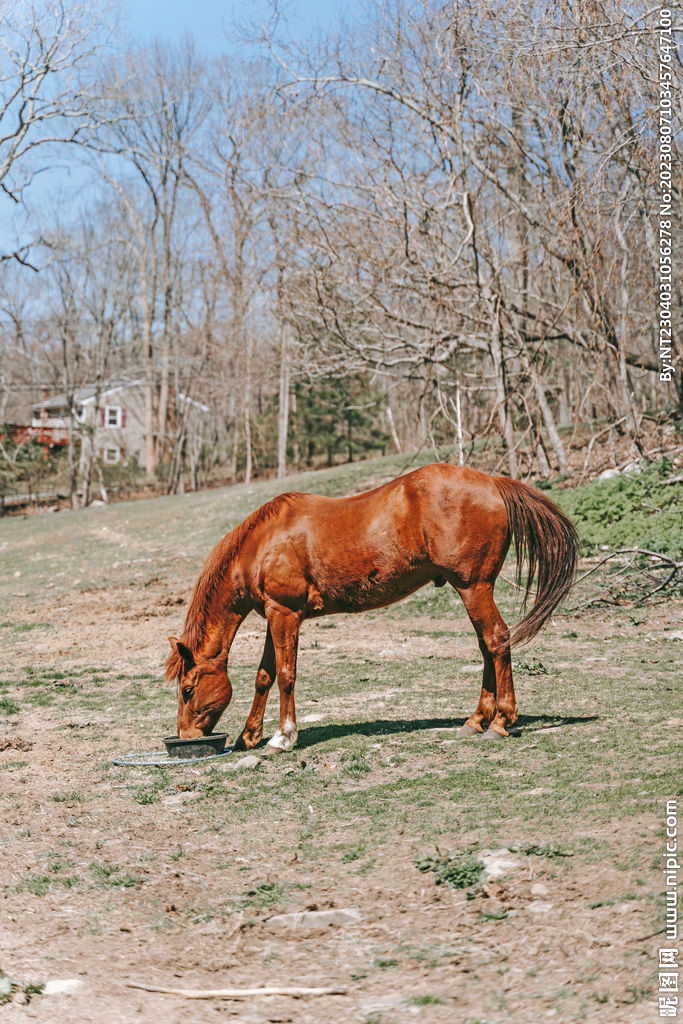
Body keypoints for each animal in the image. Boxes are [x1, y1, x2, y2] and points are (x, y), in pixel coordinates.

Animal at [165, 463, 579, 750]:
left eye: (187, 689)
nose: (184, 737)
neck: (263, 544)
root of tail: (492, 482)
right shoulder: (275, 615)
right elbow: (264, 676)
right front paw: (249, 736)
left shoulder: (285, 613)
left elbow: (285, 675)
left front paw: (283, 738)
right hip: (473, 592)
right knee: (486, 646)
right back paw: (477, 719)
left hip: (473, 588)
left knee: (496, 640)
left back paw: (500, 722)